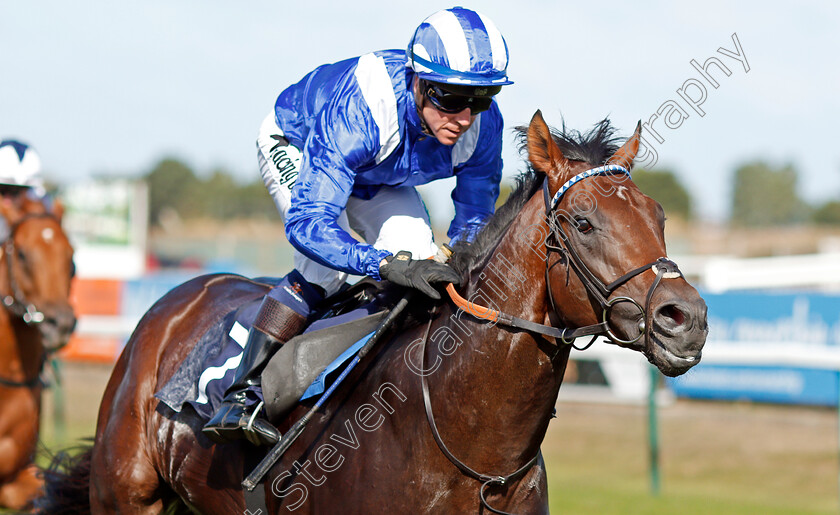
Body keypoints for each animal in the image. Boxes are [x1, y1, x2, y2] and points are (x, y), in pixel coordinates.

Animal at [36, 111, 704, 512]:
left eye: (659, 216)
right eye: (583, 222)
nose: (685, 318)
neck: (472, 449)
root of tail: (178, 298)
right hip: (124, 495)